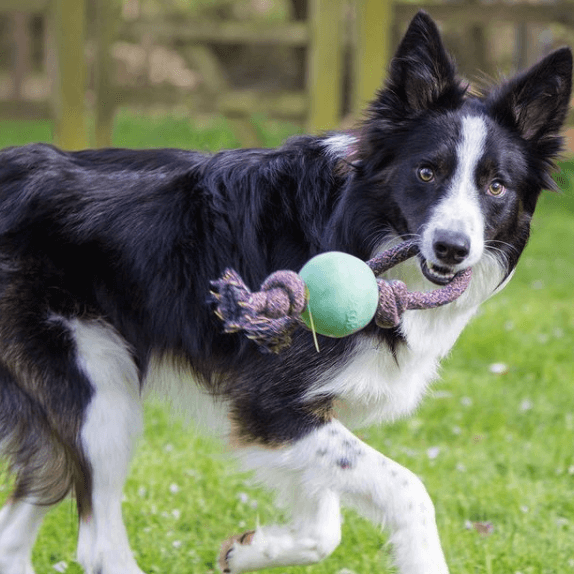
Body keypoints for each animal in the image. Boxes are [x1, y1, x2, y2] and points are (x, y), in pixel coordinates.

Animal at [0, 10, 572, 574]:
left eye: (496, 186)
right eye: (427, 172)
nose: (452, 248)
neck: (352, 225)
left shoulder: (304, 416)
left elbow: (324, 526)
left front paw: (252, 550)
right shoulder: (269, 405)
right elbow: (407, 490)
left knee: (24, 518)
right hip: (101, 389)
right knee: (98, 545)